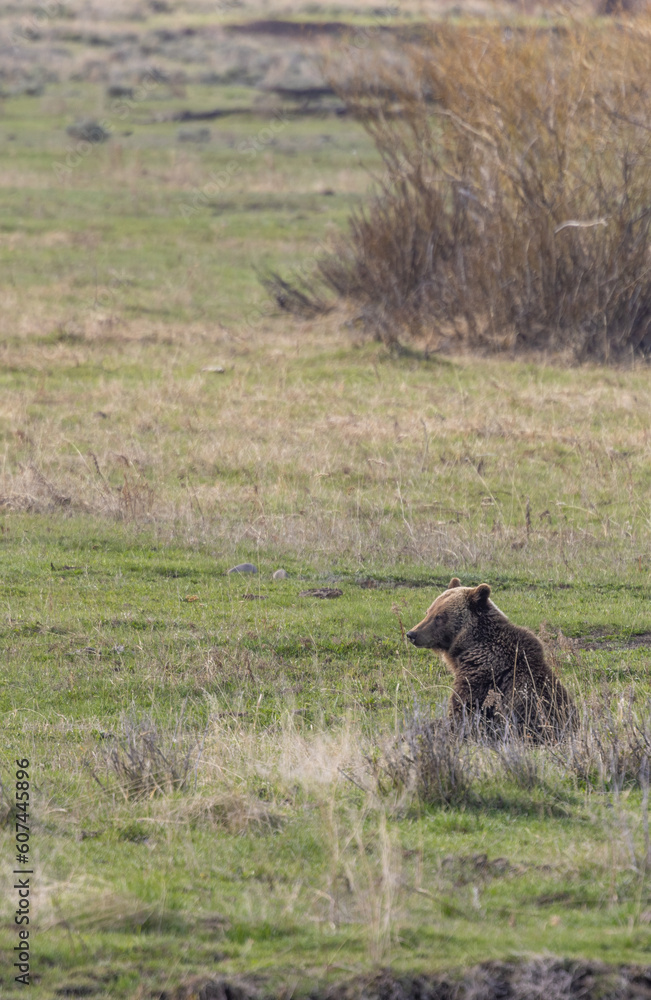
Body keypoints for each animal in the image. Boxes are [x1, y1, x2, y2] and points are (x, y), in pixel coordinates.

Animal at [406, 578, 574, 739]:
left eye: (439, 616)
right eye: (428, 611)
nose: (412, 634)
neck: (469, 646)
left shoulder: (482, 674)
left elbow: (464, 710)